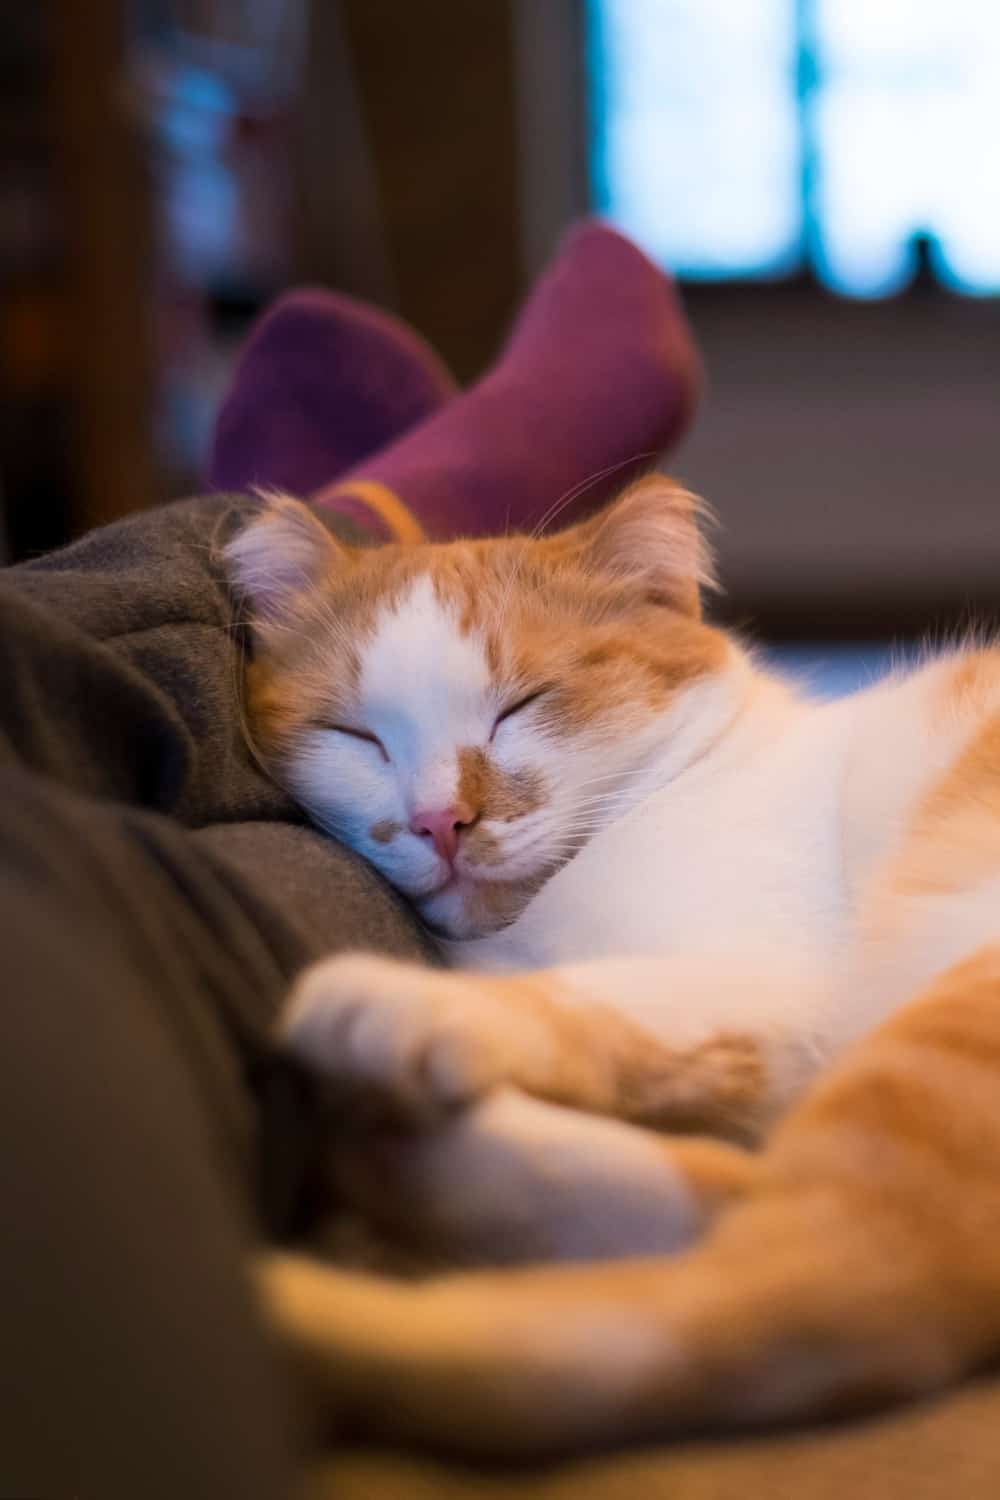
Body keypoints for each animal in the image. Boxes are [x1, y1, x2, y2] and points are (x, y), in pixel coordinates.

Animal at [226, 480, 1000, 1452]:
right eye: (356, 735)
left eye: (522, 706)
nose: (440, 821)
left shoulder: (790, 988)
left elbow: (579, 999)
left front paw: (410, 1007)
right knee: (729, 1210)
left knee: (785, 1304)